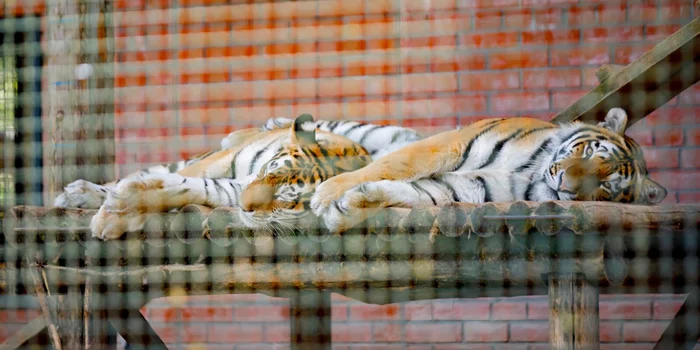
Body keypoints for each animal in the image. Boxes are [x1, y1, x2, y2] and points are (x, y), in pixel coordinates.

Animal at [56, 113, 422, 239]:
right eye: (268, 171)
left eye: (287, 199)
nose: (245, 207)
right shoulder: (224, 166)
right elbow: (180, 177)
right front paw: (112, 209)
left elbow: (188, 188)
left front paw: (118, 213)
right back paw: (77, 192)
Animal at [310, 108, 668, 234]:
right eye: (590, 152)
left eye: (604, 184)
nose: (565, 183)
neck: (530, 174)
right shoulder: (451, 145)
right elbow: (395, 165)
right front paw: (326, 193)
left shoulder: (471, 188)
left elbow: (417, 194)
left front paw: (347, 207)